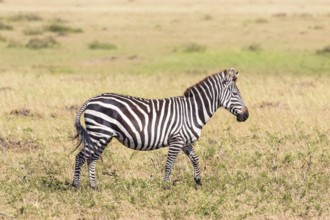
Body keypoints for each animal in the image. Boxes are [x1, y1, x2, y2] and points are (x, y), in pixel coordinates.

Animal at [71, 67, 248, 189]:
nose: (246, 116)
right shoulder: (177, 140)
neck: (192, 111)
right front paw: (165, 186)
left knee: (92, 158)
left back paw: (94, 186)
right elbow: (169, 163)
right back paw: (76, 185)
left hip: (103, 136)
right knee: (81, 157)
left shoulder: (185, 141)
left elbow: (195, 159)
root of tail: (91, 100)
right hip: (98, 134)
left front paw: (198, 182)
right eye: (235, 93)